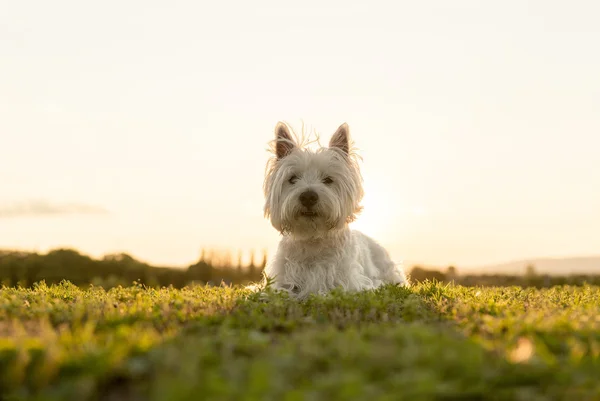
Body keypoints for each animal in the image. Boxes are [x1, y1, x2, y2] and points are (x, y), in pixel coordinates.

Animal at [262, 120, 408, 298]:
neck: (312, 239)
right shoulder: (282, 279)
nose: (308, 197)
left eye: (328, 179)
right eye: (293, 178)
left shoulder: (349, 281)